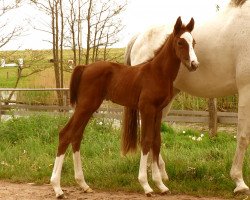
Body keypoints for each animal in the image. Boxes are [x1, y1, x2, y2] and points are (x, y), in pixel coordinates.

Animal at [50, 16, 199, 198]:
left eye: (194, 42)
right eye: (180, 42)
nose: (194, 64)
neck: (157, 72)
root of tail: (84, 67)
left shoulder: (158, 111)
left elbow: (156, 141)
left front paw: (161, 185)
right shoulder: (147, 109)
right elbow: (146, 141)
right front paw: (146, 185)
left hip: (89, 107)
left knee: (76, 136)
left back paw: (83, 184)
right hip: (85, 105)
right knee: (66, 134)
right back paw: (57, 188)